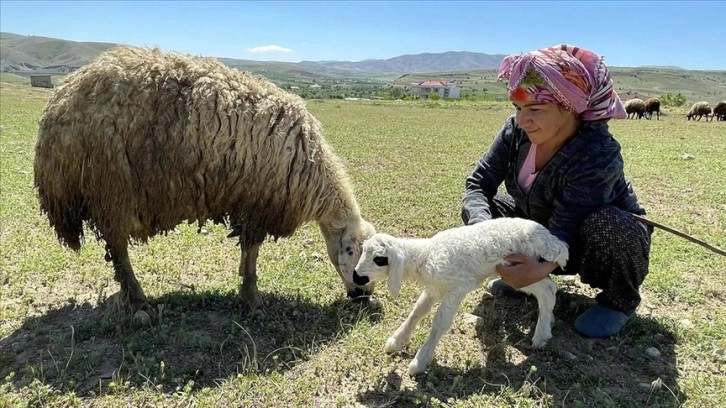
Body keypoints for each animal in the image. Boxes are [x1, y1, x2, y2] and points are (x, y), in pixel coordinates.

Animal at [33, 45, 378, 312]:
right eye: (355, 255)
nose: (364, 296)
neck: (309, 166)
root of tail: (58, 102)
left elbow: (247, 253)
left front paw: (247, 292)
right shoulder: (257, 203)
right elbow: (251, 253)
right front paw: (252, 299)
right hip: (111, 187)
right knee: (118, 248)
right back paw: (138, 300)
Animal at [352, 218, 568, 374]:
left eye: (379, 259)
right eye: (362, 251)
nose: (356, 276)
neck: (426, 257)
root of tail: (556, 243)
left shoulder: (458, 287)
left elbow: (439, 322)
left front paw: (420, 362)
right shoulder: (434, 289)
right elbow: (418, 311)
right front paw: (397, 341)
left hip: (522, 269)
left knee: (548, 290)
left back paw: (540, 336)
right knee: (548, 288)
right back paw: (547, 326)